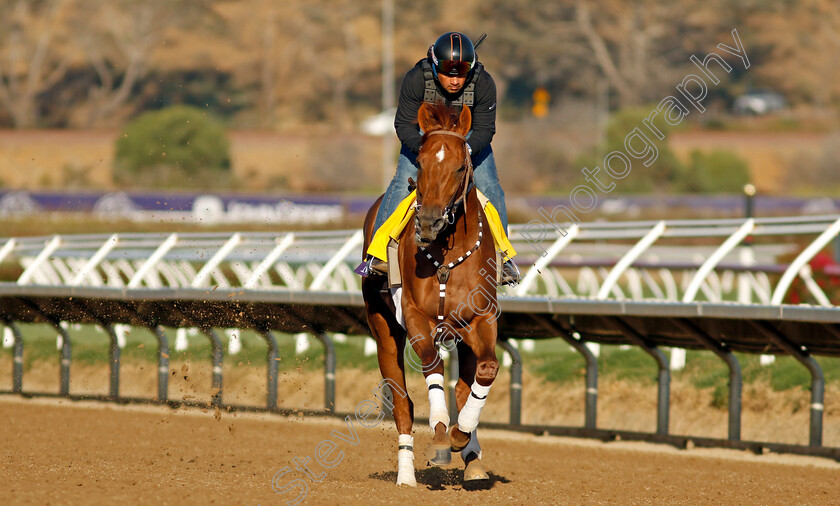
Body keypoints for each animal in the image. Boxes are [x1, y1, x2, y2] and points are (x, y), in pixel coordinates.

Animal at [360, 103, 498, 486]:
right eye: (420, 163)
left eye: (460, 166)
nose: (430, 222)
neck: (447, 256)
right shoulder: (415, 316)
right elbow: (433, 369)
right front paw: (439, 435)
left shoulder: (480, 319)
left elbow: (484, 372)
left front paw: (462, 434)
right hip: (382, 329)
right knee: (402, 402)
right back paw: (406, 475)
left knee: (463, 387)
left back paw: (472, 460)